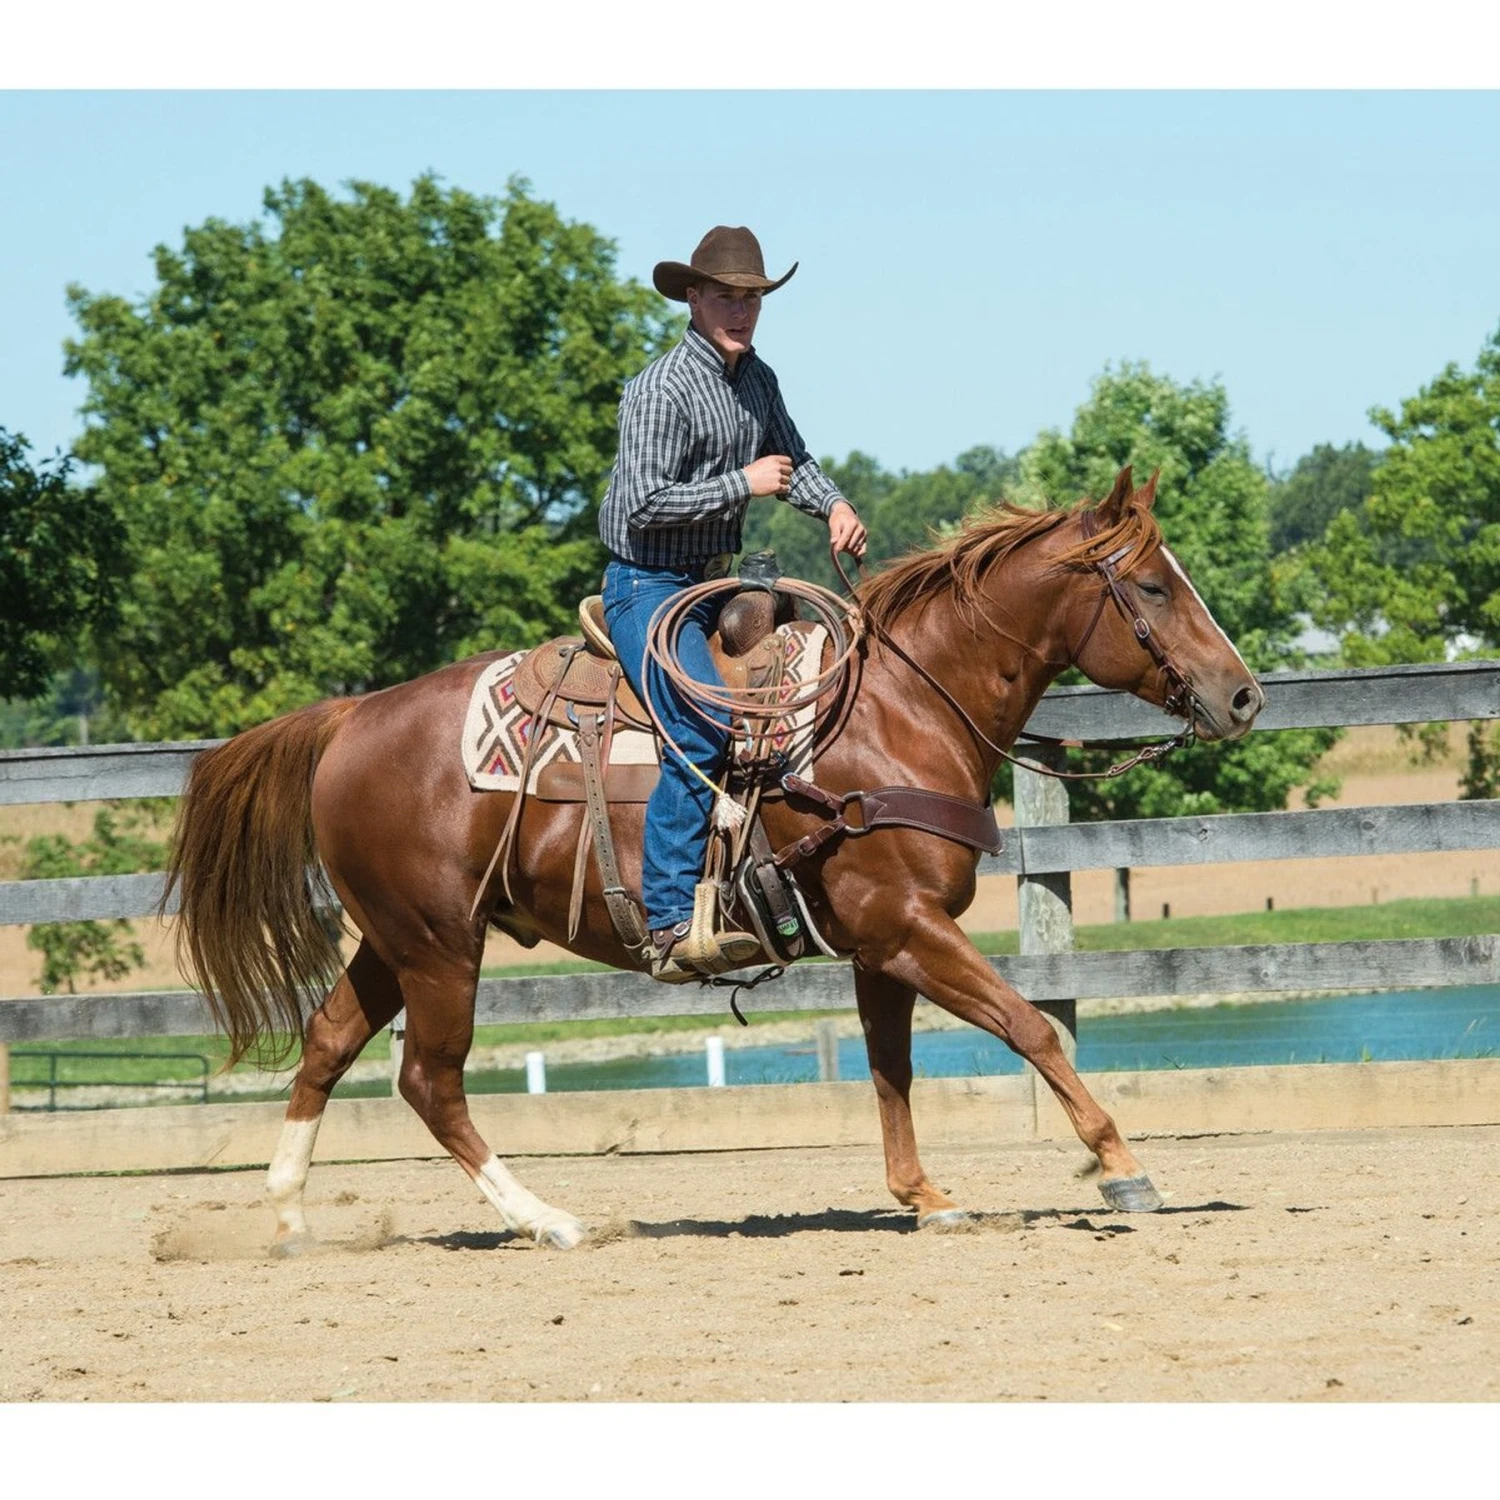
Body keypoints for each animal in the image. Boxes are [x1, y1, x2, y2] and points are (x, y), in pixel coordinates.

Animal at [164, 465, 1264, 1252]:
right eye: (1154, 583)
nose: (1244, 695)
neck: (892, 711)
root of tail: (351, 718)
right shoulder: (908, 927)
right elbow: (1032, 1027)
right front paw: (1122, 1167)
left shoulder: (880, 946)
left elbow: (893, 1070)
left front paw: (925, 1195)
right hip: (439, 947)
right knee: (430, 1082)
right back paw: (547, 1219)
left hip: (396, 942)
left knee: (326, 1045)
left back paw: (290, 1218)